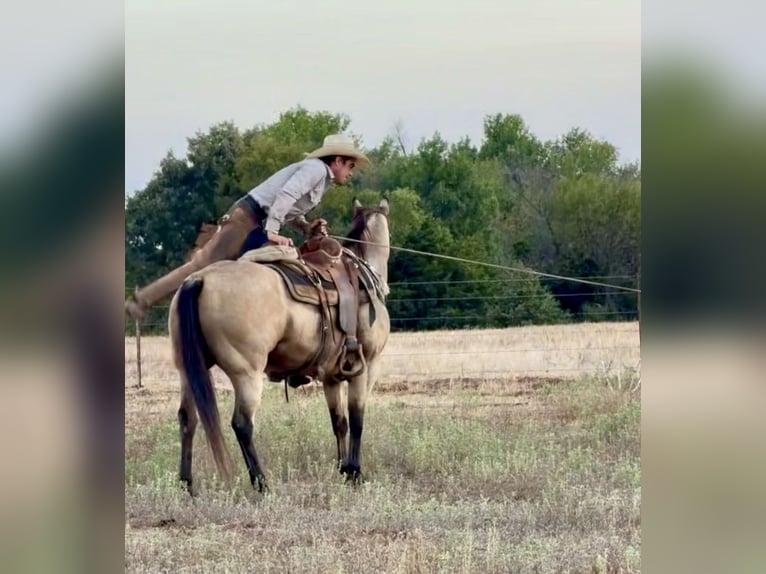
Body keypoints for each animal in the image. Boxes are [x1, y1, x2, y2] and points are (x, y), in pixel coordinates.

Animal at [168, 198, 391, 494]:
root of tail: (199, 279)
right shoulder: (367, 367)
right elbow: (357, 419)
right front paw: (354, 472)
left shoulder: (332, 376)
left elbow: (339, 422)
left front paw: (342, 469)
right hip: (247, 374)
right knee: (242, 424)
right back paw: (261, 483)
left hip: (188, 370)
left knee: (187, 419)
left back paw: (187, 484)